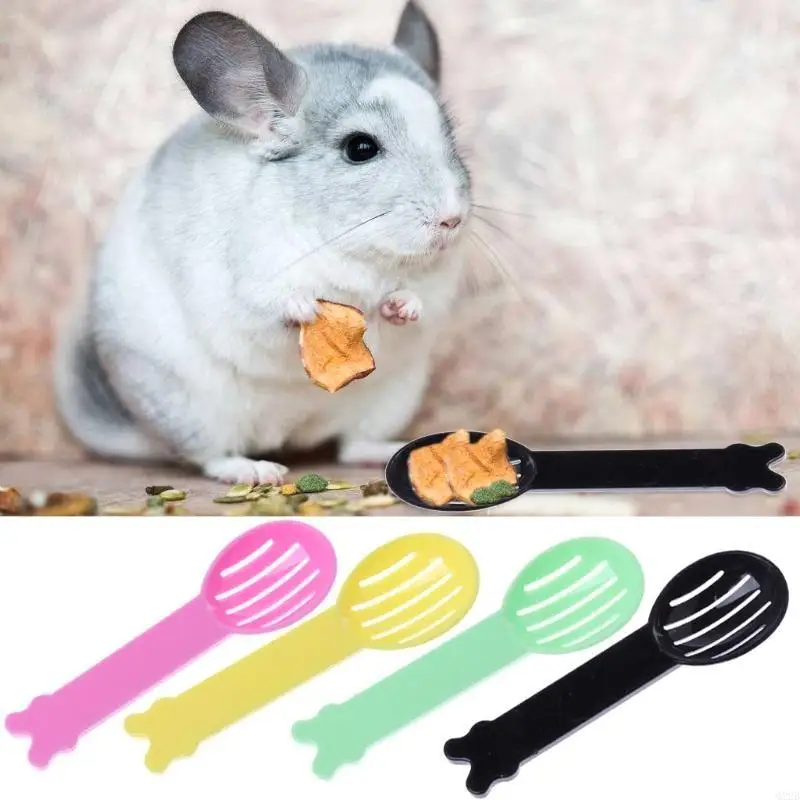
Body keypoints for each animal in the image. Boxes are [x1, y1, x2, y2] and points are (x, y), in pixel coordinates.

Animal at [54, 2, 472, 485]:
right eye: (360, 147)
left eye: (450, 138)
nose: (452, 218)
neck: (352, 250)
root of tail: (287, 433)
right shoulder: (247, 281)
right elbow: (267, 306)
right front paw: (304, 307)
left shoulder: (437, 285)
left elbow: (420, 301)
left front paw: (402, 306)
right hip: (189, 408)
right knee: (210, 456)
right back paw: (256, 471)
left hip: (392, 399)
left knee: (352, 445)